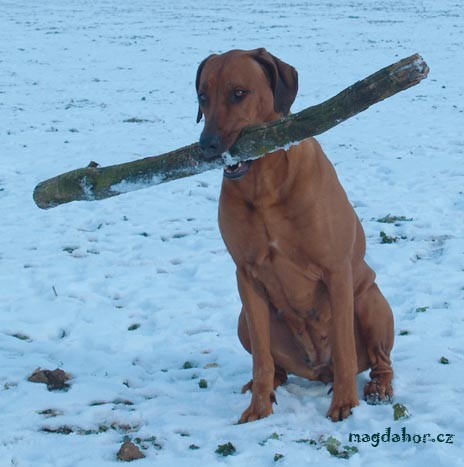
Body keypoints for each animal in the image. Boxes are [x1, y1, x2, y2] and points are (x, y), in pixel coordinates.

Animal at [194, 48, 394, 424]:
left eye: (238, 93)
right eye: (202, 96)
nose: (207, 146)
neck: (264, 186)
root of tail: (318, 371)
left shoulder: (336, 270)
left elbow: (344, 349)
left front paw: (345, 403)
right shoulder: (246, 275)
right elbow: (261, 358)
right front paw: (258, 408)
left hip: (371, 301)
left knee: (378, 361)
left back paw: (378, 387)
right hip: (243, 321)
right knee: (272, 363)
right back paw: (271, 381)